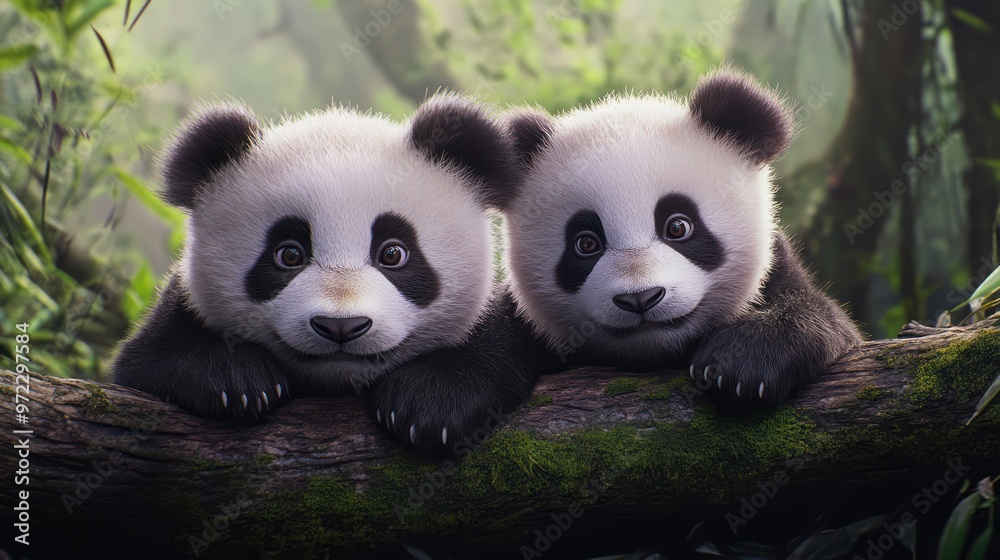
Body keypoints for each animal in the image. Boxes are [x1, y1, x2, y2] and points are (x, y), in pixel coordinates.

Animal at [112, 94, 540, 446]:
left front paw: (430, 403)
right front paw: (236, 381)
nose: (341, 327)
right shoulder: (174, 318)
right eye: (289, 254)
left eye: (393, 254)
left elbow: (490, 353)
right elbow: (151, 358)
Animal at [497, 70, 862, 404]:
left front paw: (741, 364)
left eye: (678, 227)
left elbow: (821, 317)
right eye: (586, 243)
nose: (640, 298)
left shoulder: (778, 271)